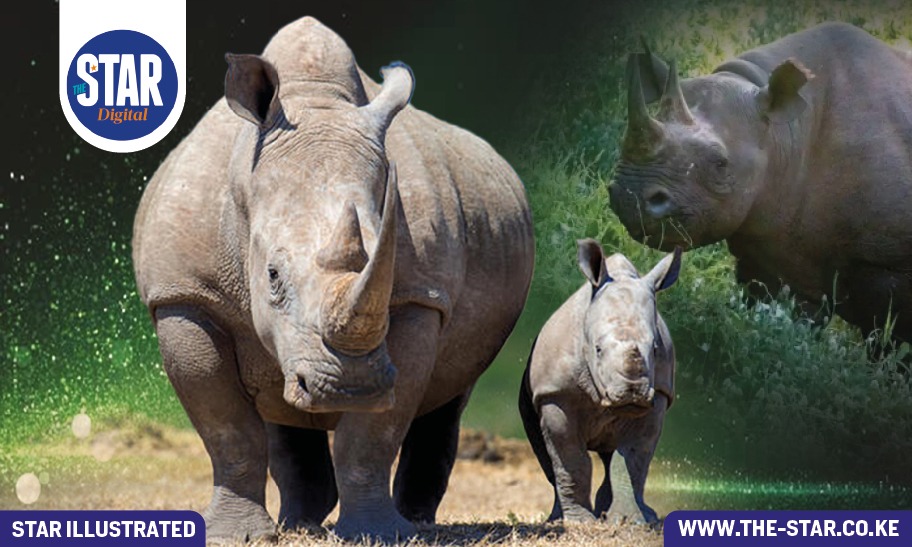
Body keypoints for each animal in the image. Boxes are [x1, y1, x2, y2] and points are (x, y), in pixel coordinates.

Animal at [132, 17, 534, 542]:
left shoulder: (418, 299)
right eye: (272, 276)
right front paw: (236, 536)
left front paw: (379, 534)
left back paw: (414, 521)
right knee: (278, 402)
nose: (350, 387)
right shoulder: (186, 295)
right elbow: (228, 429)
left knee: (450, 393)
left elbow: (371, 436)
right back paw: (299, 521)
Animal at [519, 239, 680, 523]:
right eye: (597, 349)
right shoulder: (555, 394)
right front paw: (580, 521)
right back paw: (558, 519)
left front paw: (630, 520)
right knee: (547, 454)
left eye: (655, 349)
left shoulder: (660, 393)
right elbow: (571, 458)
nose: (632, 392)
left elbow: (633, 460)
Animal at [609, 22, 912, 343]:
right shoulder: (770, 243)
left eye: (720, 163)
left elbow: (888, 336)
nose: (629, 196)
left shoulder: (891, 264)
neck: (784, 132)